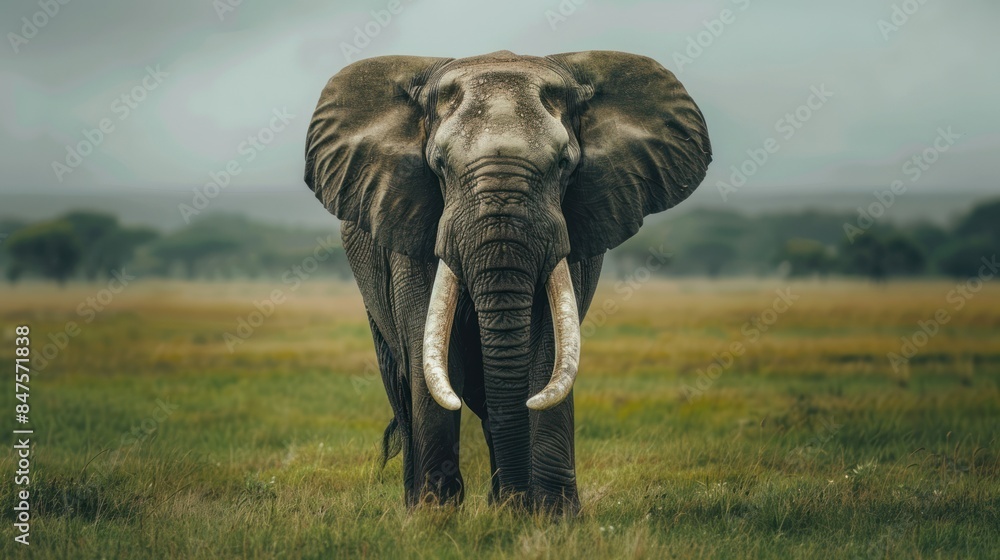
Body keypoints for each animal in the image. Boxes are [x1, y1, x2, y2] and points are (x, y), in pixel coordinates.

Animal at [304, 50, 711, 514]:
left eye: (564, 164)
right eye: (438, 165)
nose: (519, 502)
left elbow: (549, 348)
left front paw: (552, 516)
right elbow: (432, 353)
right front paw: (435, 516)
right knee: (405, 381)